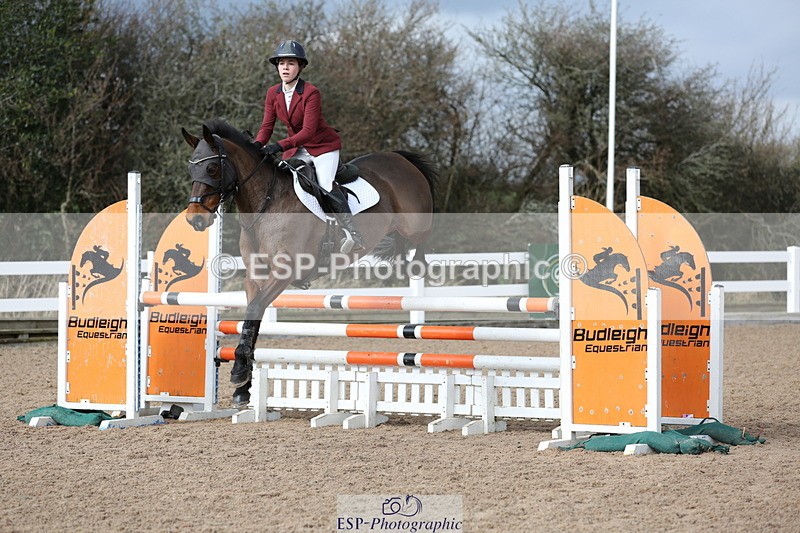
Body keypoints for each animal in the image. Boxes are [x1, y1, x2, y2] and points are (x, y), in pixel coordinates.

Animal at [181, 118, 437, 406]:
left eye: (212, 168)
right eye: (192, 167)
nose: (195, 220)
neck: (266, 205)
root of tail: (399, 158)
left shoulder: (284, 272)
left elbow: (255, 309)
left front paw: (238, 373)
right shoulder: (255, 276)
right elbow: (253, 317)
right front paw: (243, 386)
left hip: (415, 224)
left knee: (422, 239)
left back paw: (414, 263)